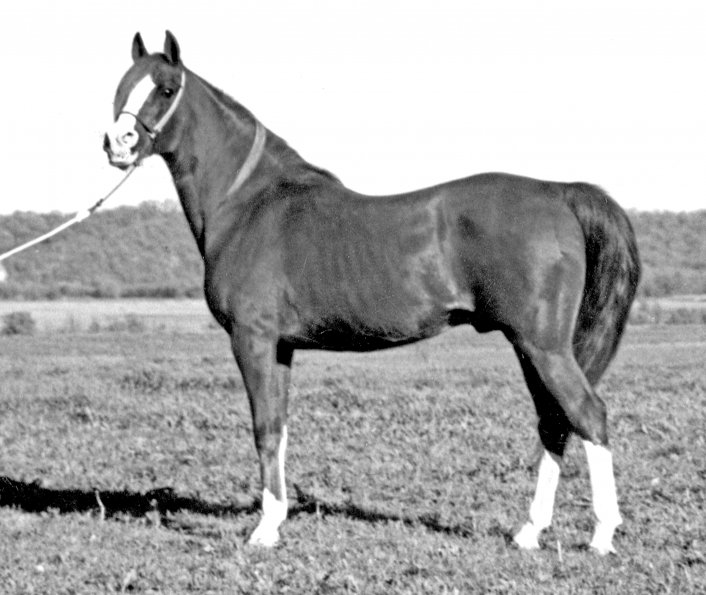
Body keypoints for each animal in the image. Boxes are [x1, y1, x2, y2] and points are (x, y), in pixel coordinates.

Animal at [104, 31, 640, 552]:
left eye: (166, 89)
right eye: (122, 87)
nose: (117, 143)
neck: (249, 203)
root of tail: (559, 192)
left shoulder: (251, 340)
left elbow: (263, 430)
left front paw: (263, 530)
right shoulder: (280, 348)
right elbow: (279, 429)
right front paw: (277, 520)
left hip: (543, 346)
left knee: (587, 415)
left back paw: (601, 535)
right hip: (531, 349)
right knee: (554, 421)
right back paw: (530, 532)